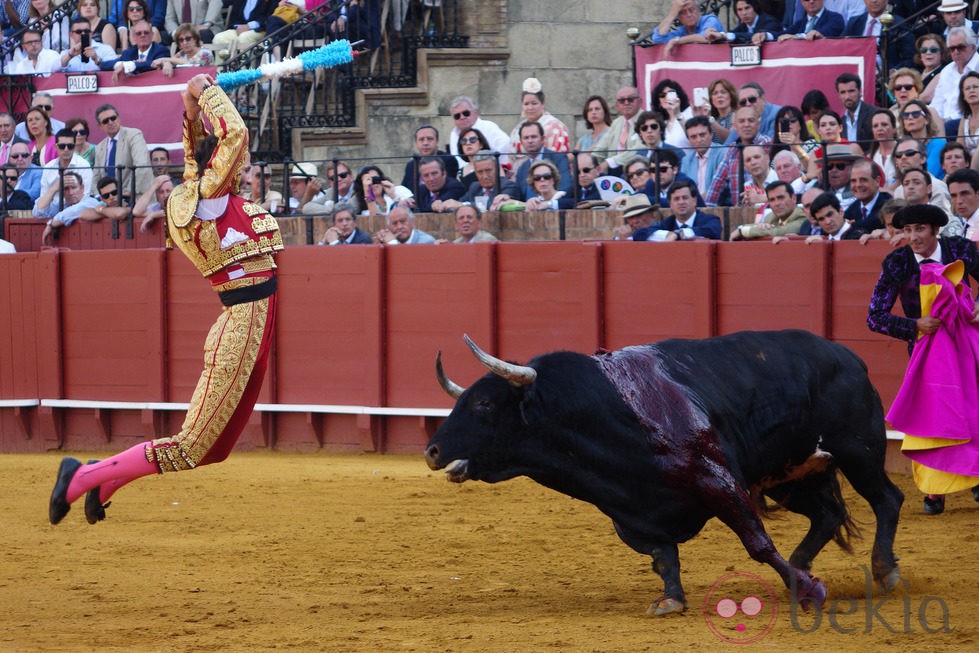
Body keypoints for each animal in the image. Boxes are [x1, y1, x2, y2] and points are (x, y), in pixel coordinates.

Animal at [424, 328, 908, 612]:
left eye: (484, 404)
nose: (431, 451)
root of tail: (846, 356)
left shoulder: (718, 479)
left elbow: (756, 542)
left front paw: (811, 592)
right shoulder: (632, 511)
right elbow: (662, 555)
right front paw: (671, 600)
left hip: (859, 451)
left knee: (887, 499)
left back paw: (883, 571)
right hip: (793, 474)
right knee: (826, 514)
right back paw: (801, 570)